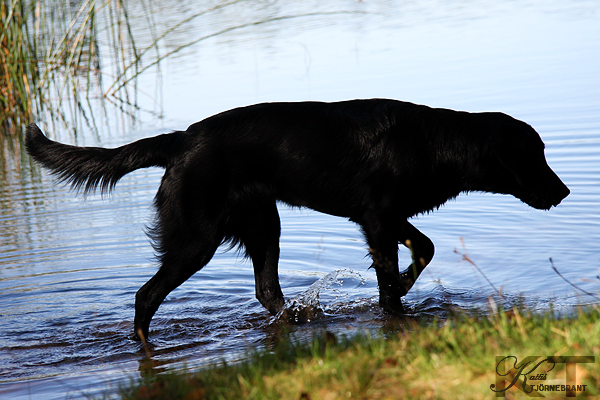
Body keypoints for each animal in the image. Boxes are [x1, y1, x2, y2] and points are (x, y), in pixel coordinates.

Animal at [24, 98, 568, 340]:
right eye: (536, 154)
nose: (564, 191)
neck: (433, 143)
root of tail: (179, 140)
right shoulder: (377, 218)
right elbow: (389, 281)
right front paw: (395, 300)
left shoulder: (387, 217)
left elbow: (425, 249)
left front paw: (407, 287)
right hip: (196, 238)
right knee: (146, 295)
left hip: (264, 225)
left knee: (267, 291)